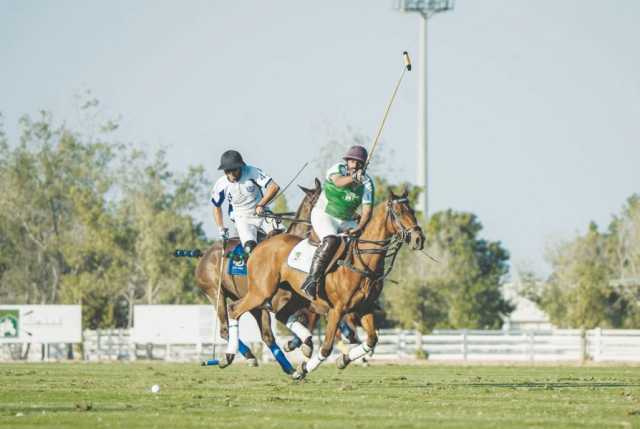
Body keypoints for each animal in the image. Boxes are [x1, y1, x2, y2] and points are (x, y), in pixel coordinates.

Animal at [224, 190, 424, 378]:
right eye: (398, 212)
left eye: (413, 211)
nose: (418, 239)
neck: (362, 261)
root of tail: (259, 246)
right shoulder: (336, 310)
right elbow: (327, 347)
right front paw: (303, 369)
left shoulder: (364, 308)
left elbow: (371, 340)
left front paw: (343, 360)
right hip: (262, 292)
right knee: (234, 309)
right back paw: (229, 356)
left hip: (293, 296)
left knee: (282, 315)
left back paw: (304, 344)